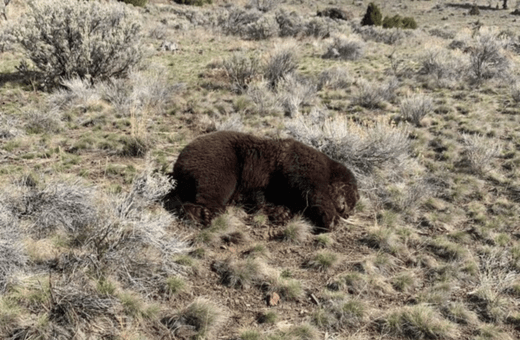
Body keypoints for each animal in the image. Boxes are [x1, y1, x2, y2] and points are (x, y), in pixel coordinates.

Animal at [165, 131, 360, 232]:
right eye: (350, 200)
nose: (347, 212)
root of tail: (178, 162)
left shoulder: (274, 187)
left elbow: (269, 199)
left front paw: (281, 213)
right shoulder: (301, 164)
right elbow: (313, 190)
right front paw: (331, 219)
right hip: (221, 159)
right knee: (215, 186)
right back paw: (204, 214)